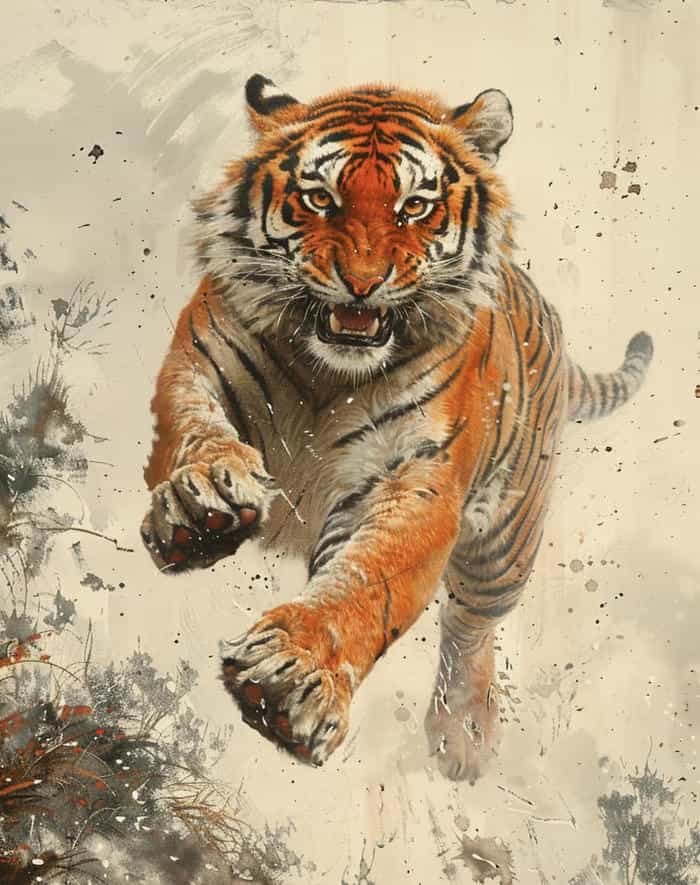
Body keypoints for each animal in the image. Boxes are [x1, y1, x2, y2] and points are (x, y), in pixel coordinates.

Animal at [141, 74, 653, 782]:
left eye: (415, 206)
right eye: (320, 198)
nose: (362, 284)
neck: (325, 373)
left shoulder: (413, 479)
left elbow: (365, 580)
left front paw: (294, 677)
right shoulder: (194, 365)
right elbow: (195, 429)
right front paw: (204, 501)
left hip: (504, 549)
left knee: (470, 628)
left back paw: (462, 735)